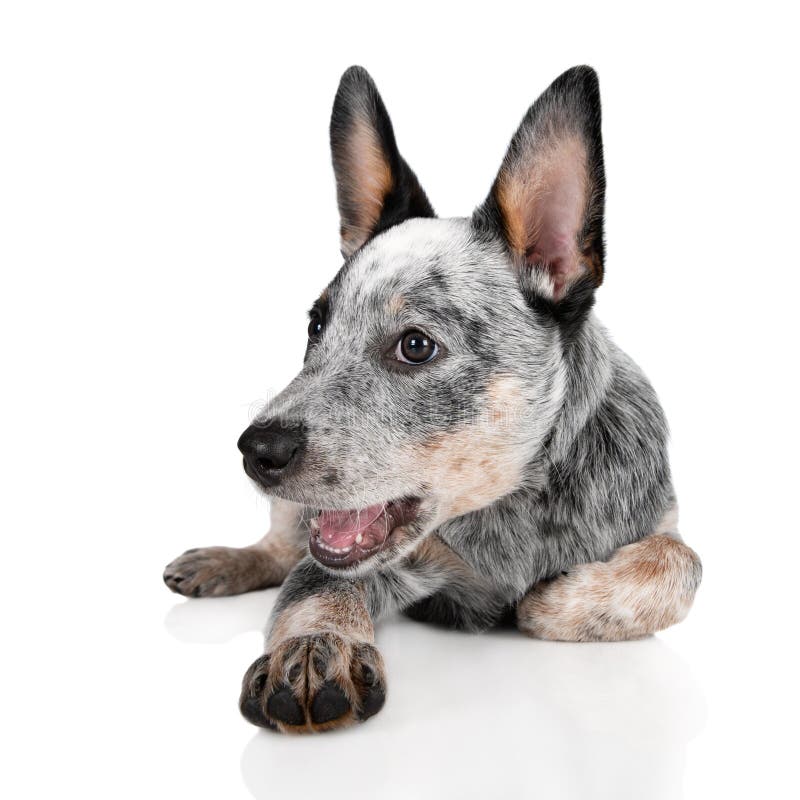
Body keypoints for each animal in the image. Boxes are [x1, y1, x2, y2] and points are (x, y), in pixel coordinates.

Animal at [166, 65, 704, 736]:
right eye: (316, 327)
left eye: (416, 346)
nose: (255, 450)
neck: (516, 503)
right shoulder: (358, 561)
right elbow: (315, 587)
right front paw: (315, 650)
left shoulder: (658, 518)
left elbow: (681, 564)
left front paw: (560, 602)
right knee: (282, 544)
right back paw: (223, 562)